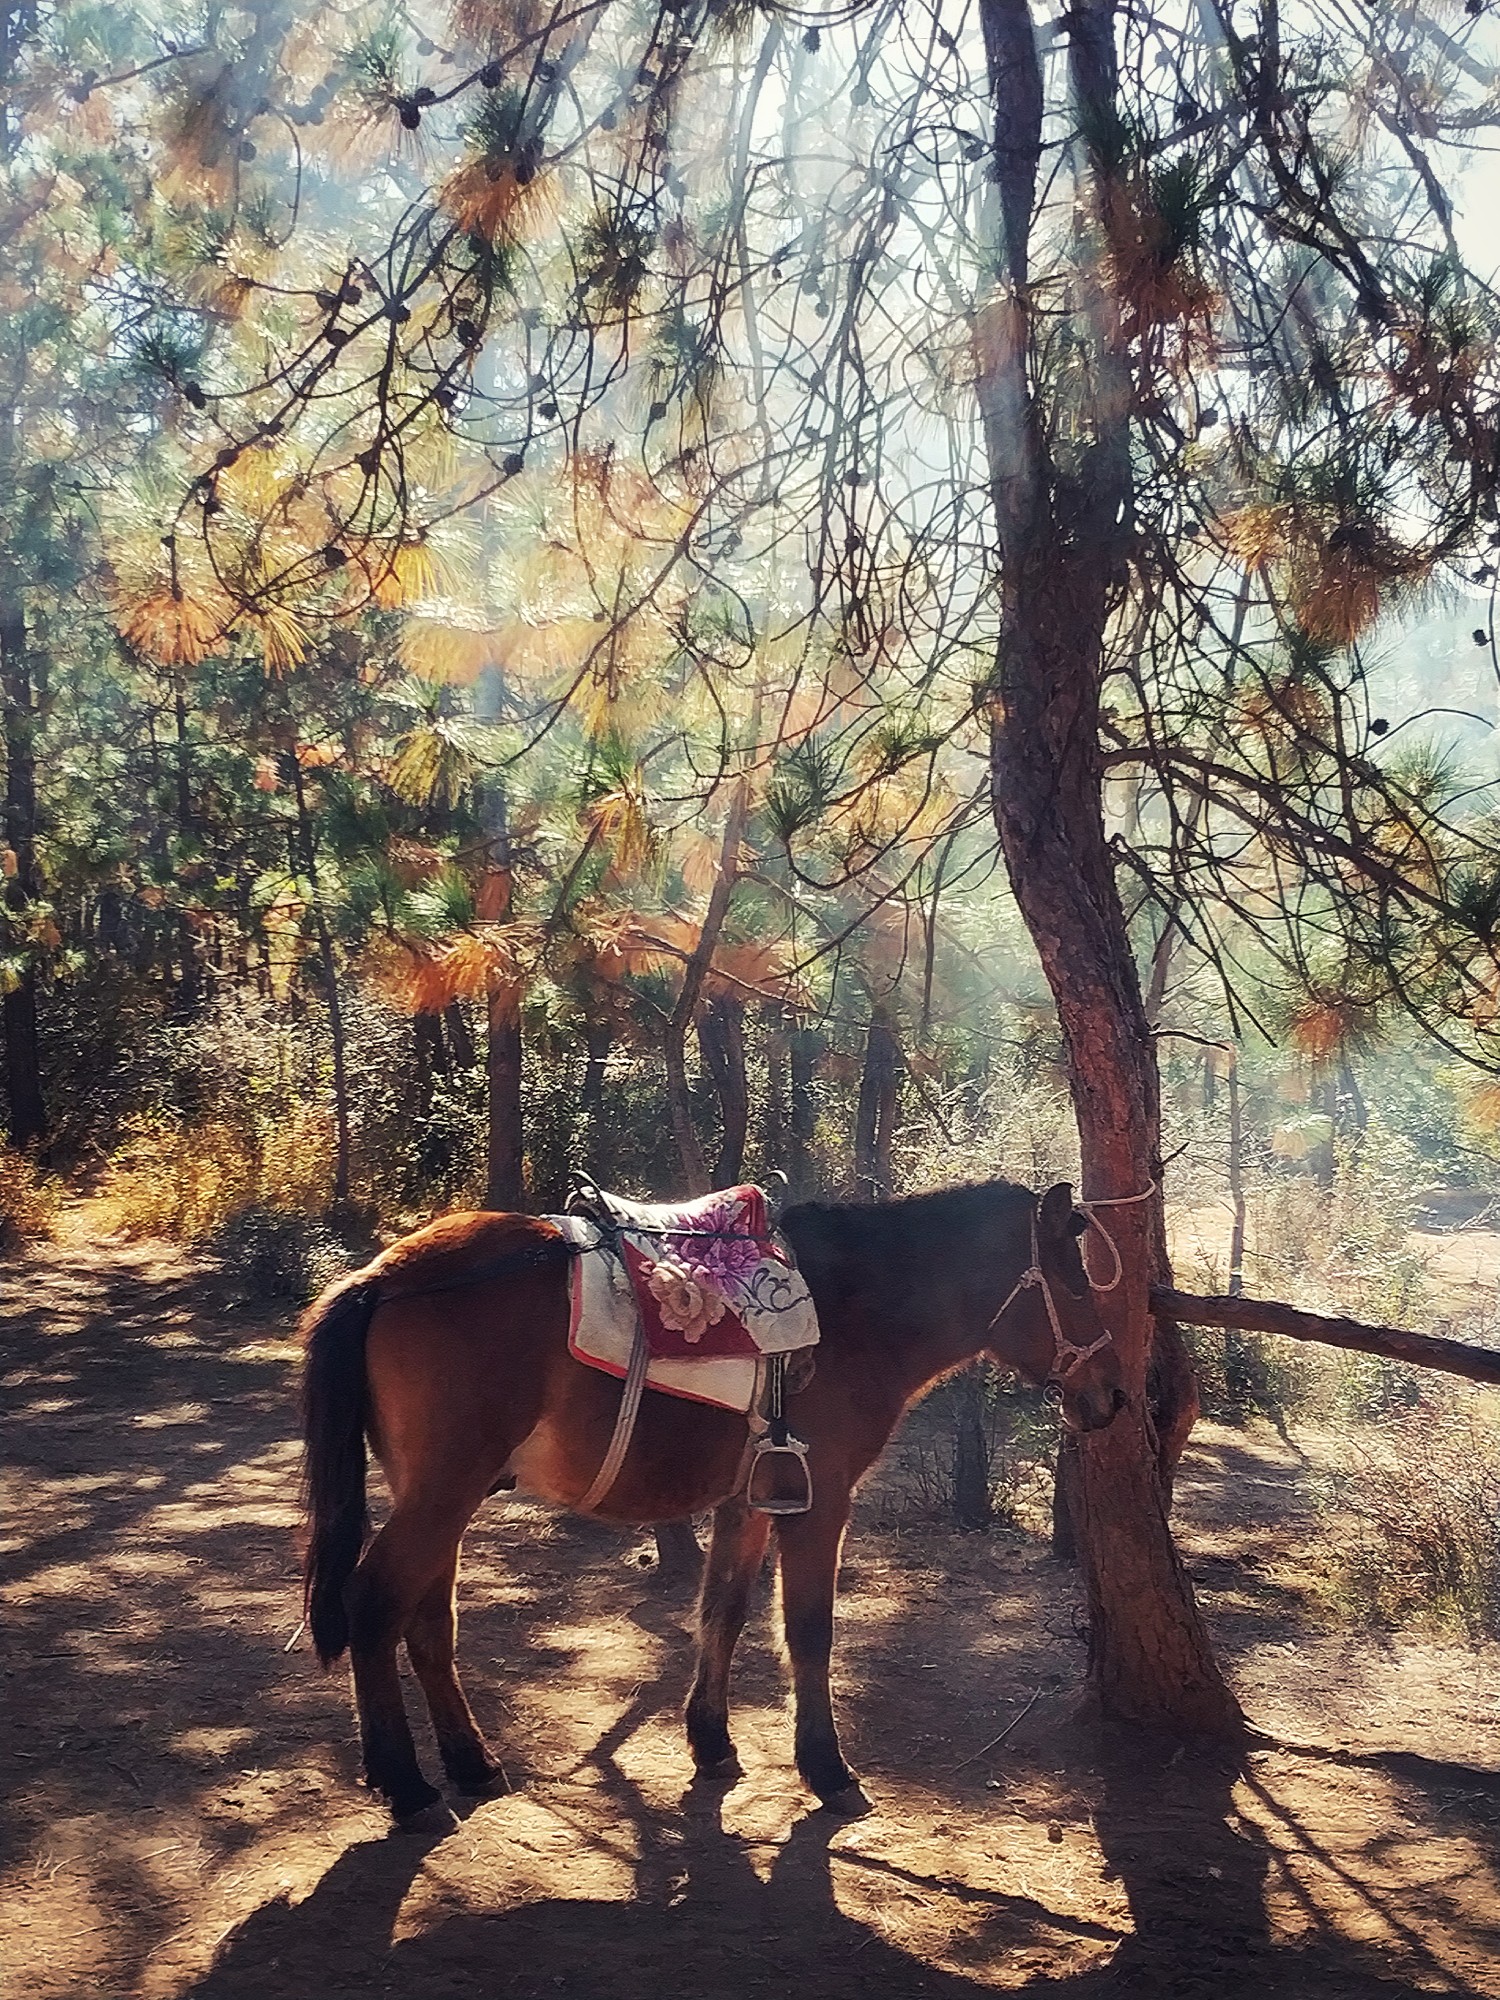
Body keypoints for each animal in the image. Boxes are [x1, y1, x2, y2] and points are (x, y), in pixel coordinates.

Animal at [302, 1176, 1128, 1824]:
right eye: (1077, 1283)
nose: (1113, 1394)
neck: (851, 1311)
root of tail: (385, 1275)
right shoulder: (819, 1506)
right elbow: (809, 1632)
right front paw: (826, 1770)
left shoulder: (752, 1504)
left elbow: (721, 1613)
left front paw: (712, 1740)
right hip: (443, 1494)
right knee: (373, 1603)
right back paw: (407, 1785)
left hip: (440, 1497)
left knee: (428, 1622)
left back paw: (471, 1763)